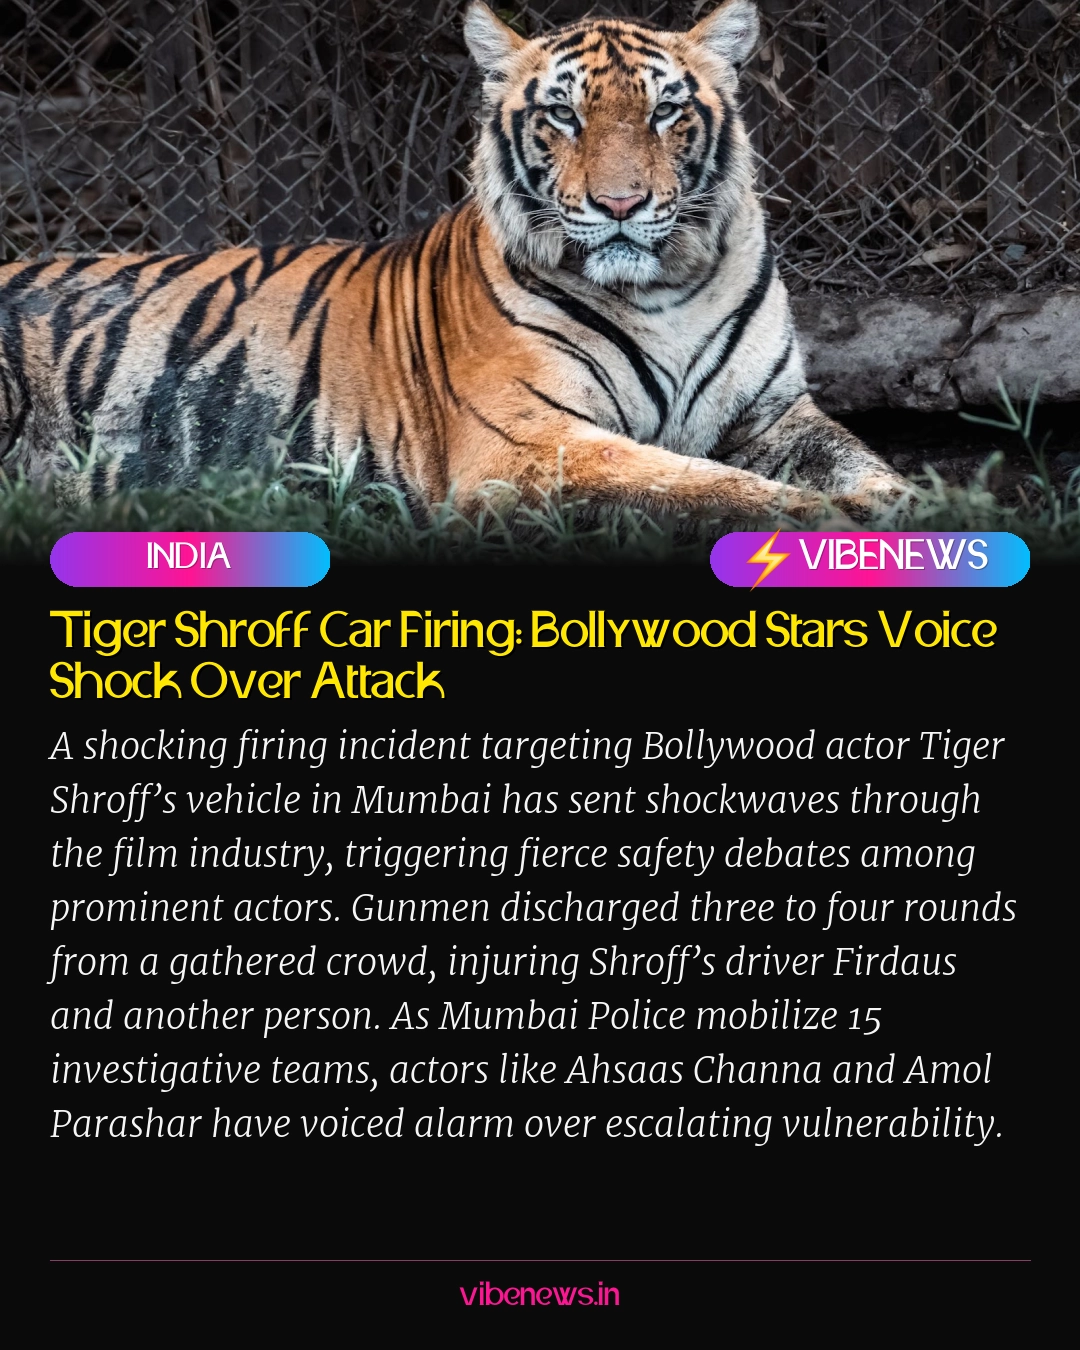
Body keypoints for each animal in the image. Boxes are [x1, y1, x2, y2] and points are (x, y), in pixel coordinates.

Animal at [0, 0, 906, 521]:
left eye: (664, 112)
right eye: (563, 116)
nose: (620, 205)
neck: (665, 292)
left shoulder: (774, 414)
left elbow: (861, 460)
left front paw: (903, 505)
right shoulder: (526, 439)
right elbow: (690, 482)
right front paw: (820, 520)